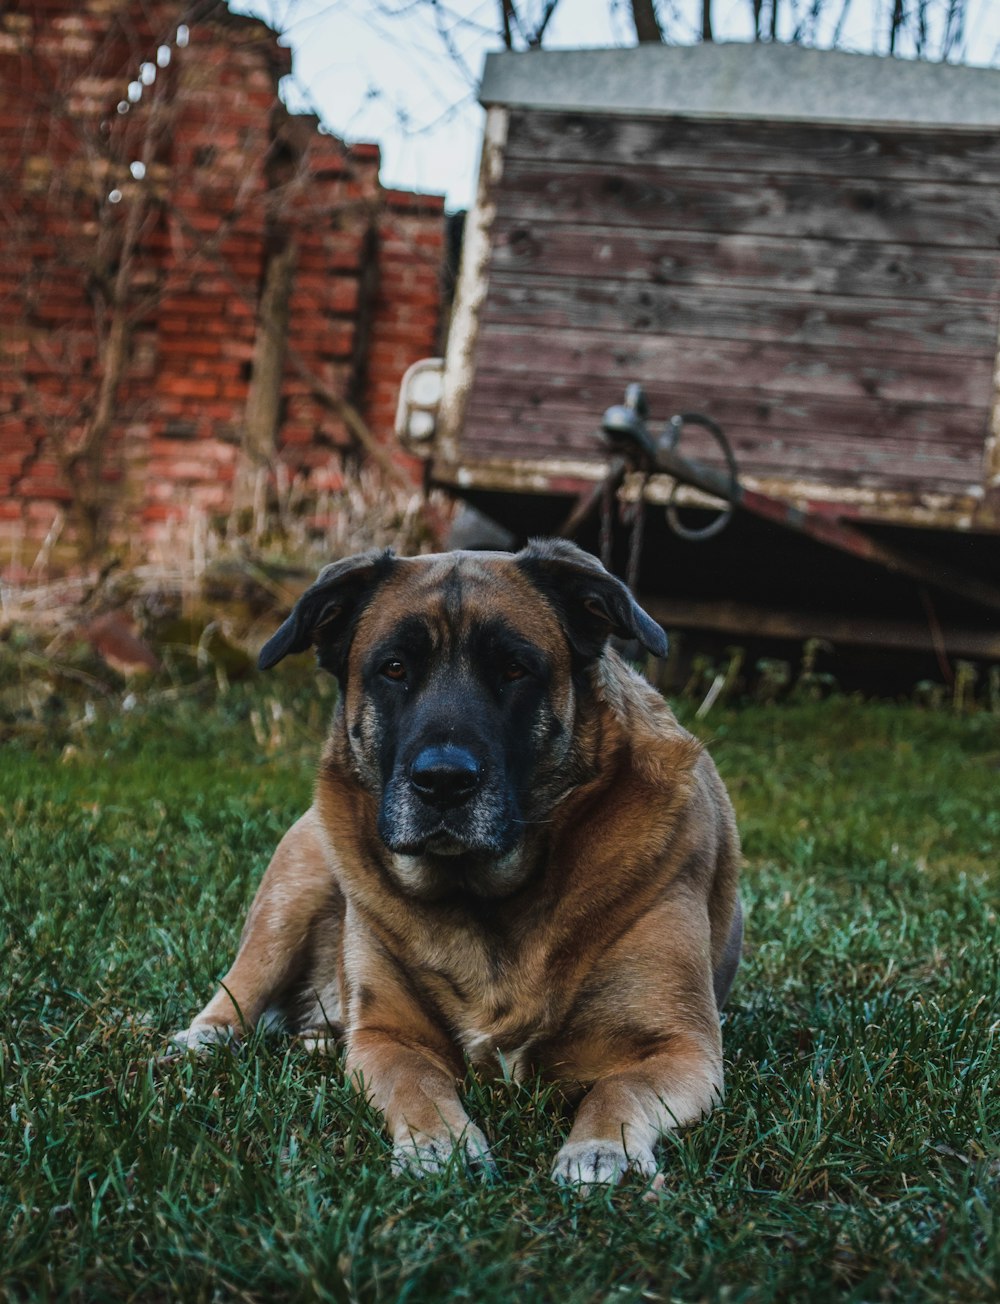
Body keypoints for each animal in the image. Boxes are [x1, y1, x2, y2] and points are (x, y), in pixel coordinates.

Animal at [176, 534, 740, 1189]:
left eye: (515, 669)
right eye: (395, 668)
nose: (443, 781)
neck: (483, 896)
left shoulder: (682, 1047)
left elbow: (618, 1087)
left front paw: (603, 1148)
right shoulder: (387, 1037)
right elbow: (417, 1081)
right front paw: (438, 1144)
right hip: (295, 887)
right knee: (239, 989)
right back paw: (200, 1041)